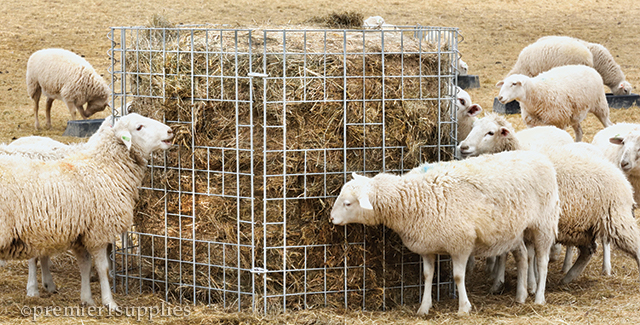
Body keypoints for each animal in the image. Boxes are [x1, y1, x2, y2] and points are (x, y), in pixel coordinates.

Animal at [0, 112, 172, 308]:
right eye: (139, 127)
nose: (170, 131)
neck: (103, 167)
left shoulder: (81, 233)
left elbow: (85, 266)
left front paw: (87, 299)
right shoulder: (99, 231)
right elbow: (102, 267)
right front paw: (109, 302)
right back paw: (33, 289)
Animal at [330, 149, 560, 314]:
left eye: (348, 203)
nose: (331, 219)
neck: (415, 198)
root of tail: (539, 156)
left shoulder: (461, 243)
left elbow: (458, 277)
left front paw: (464, 308)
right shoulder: (427, 245)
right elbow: (427, 275)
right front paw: (424, 307)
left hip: (544, 224)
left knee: (542, 261)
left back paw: (539, 298)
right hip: (514, 229)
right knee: (522, 256)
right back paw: (520, 295)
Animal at [458, 113, 640, 280]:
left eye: (490, 132)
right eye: (473, 127)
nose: (463, 147)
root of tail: (622, 179)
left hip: (615, 217)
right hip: (582, 225)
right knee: (587, 250)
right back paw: (568, 277)